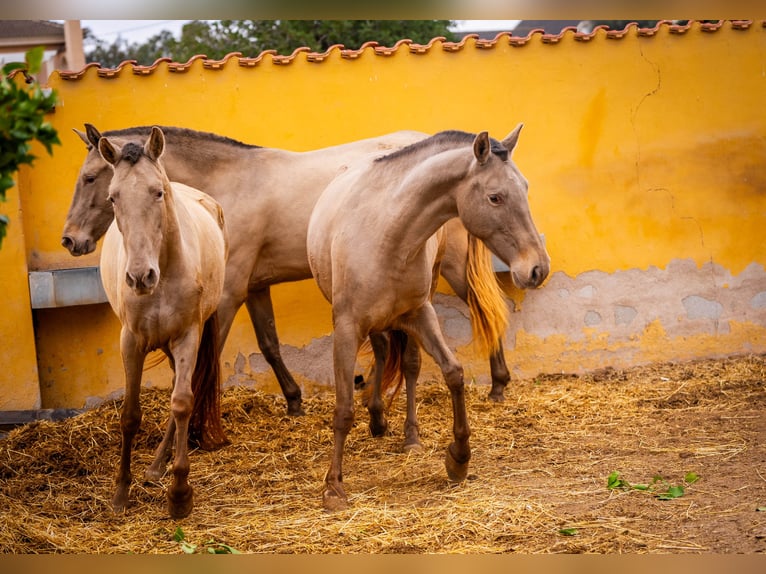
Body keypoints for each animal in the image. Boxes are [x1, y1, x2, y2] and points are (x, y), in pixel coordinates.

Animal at [61, 126, 518, 425]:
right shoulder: (255, 287)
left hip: (451, 266)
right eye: (109, 192)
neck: (229, 183)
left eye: (89, 178)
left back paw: (498, 383)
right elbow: (269, 344)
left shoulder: (228, 293)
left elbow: (207, 353)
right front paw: (294, 400)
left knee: (479, 306)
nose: (70, 239)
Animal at [98, 126, 229, 518]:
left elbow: (182, 402)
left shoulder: (187, 336)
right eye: (113, 198)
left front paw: (180, 492)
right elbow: (129, 415)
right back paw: (155, 467)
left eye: (158, 192)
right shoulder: (131, 341)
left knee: (181, 391)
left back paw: (160, 467)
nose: (140, 276)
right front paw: (121, 492)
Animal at [306, 126, 550, 510]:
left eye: (524, 188)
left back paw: (406, 434)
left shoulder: (420, 314)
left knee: (407, 364)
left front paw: (459, 458)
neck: (388, 234)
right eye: (495, 197)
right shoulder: (346, 328)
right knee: (382, 352)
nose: (538, 268)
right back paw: (377, 417)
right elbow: (343, 409)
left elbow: (452, 372)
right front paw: (333, 487)